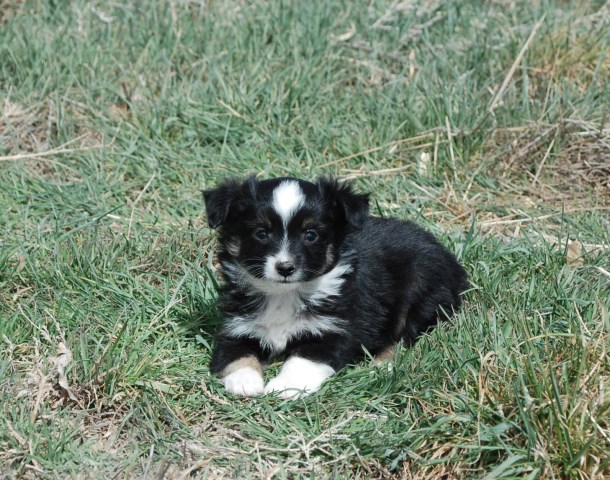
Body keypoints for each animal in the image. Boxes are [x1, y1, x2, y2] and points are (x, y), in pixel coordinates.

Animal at [204, 178, 466, 400]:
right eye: (261, 233)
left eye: (311, 235)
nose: (285, 268)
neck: (285, 294)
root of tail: (450, 260)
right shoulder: (238, 326)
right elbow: (235, 354)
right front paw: (244, 381)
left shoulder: (334, 330)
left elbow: (303, 359)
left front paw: (285, 386)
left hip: (421, 292)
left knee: (403, 338)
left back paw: (380, 366)